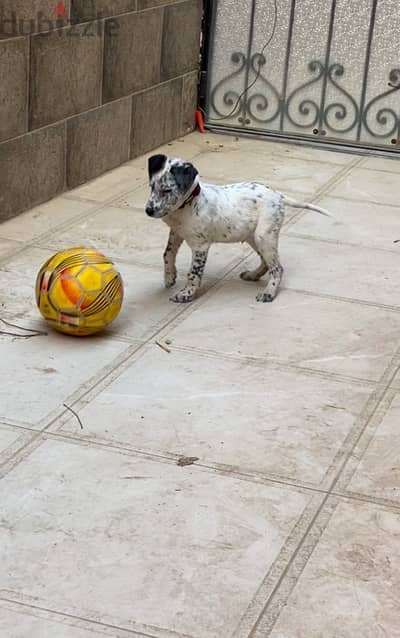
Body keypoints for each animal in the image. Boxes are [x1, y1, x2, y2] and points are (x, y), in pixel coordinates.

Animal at [145, 155, 330, 304]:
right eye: (151, 186)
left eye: (167, 190)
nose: (148, 211)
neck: (187, 204)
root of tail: (277, 194)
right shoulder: (176, 233)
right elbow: (167, 254)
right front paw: (170, 276)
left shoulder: (200, 246)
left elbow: (194, 273)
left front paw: (186, 294)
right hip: (253, 237)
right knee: (266, 262)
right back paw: (253, 275)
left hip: (264, 236)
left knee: (277, 268)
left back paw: (268, 293)